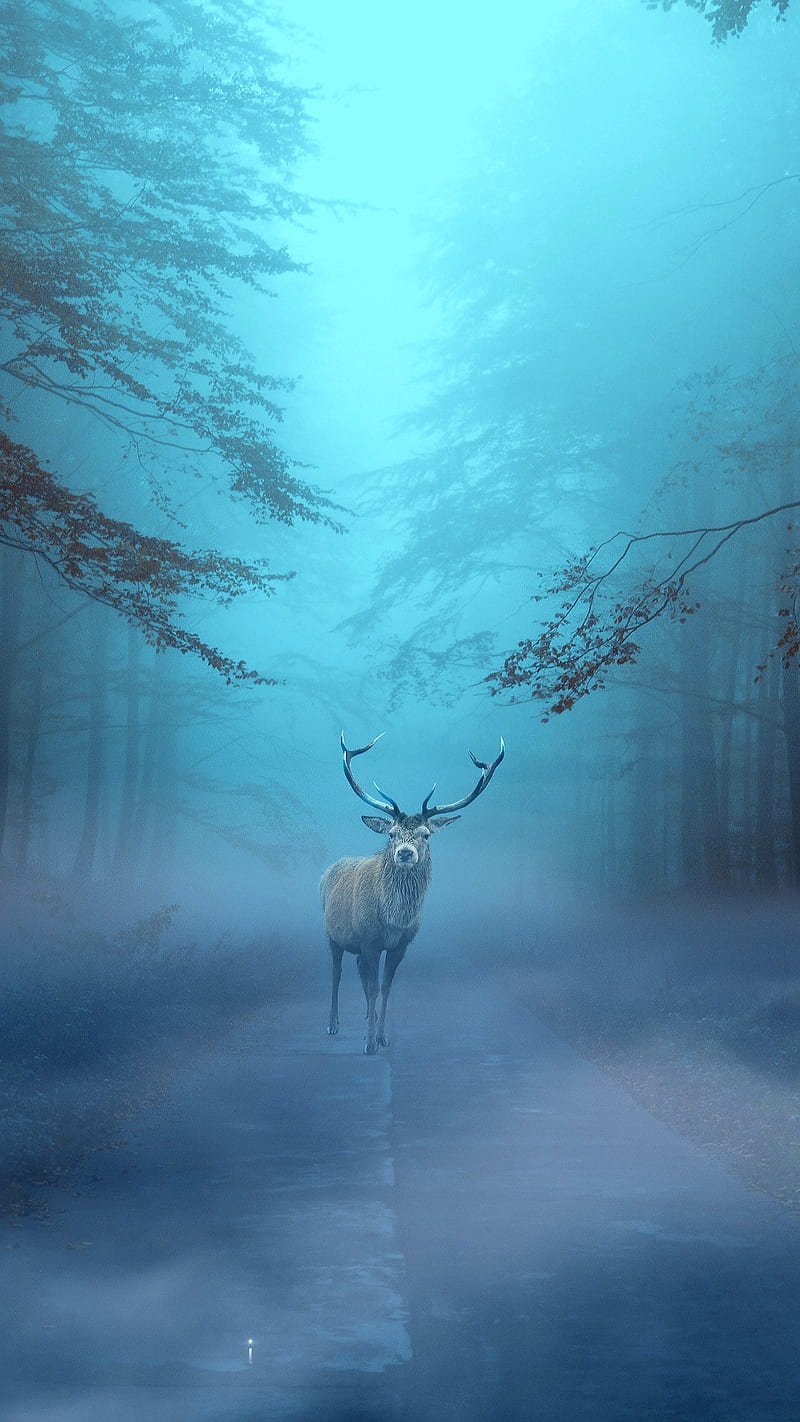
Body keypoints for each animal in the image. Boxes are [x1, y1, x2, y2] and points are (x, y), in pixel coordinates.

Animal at [320, 731, 505, 1054]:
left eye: (426, 834)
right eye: (392, 833)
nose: (405, 853)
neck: (393, 921)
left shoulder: (401, 945)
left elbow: (385, 987)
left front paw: (381, 1036)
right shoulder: (369, 938)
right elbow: (372, 986)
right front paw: (370, 1043)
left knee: (358, 970)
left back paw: (368, 1018)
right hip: (332, 933)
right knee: (336, 972)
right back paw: (333, 1023)